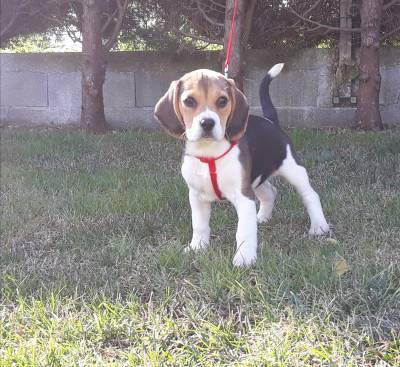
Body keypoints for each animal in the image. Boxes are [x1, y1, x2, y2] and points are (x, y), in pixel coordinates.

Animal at [153, 64, 328, 268]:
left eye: (222, 101)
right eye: (189, 101)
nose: (207, 123)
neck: (209, 153)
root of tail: (270, 121)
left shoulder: (244, 196)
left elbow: (244, 230)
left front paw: (244, 258)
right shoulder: (197, 196)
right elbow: (199, 225)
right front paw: (197, 247)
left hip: (293, 170)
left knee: (311, 196)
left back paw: (319, 226)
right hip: (255, 179)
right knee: (270, 192)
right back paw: (262, 218)